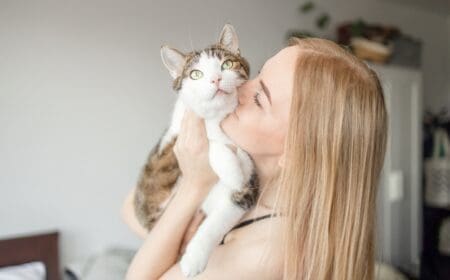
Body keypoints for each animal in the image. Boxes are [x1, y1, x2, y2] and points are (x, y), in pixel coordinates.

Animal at [134, 23, 258, 276]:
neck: (218, 119)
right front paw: (232, 168)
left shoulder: (246, 191)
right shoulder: (172, 144)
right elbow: (210, 143)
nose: (216, 79)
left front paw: (194, 259)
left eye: (227, 64)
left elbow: (221, 217)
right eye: (196, 74)